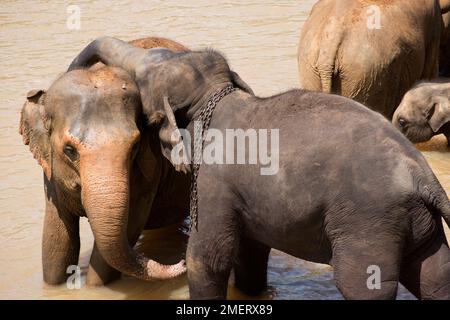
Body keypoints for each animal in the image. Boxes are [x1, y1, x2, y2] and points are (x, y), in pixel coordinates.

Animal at [18, 37, 192, 284]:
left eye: (135, 146)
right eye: (69, 150)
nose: (182, 263)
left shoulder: (149, 171)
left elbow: (129, 226)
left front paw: (94, 287)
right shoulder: (50, 173)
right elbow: (57, 239)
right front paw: (54, 285)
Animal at [67, 37, 450, 300]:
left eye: (146, 75)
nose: (74, 70)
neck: (216, 96)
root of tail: (423, 177)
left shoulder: (213, 182)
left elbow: (207, 258)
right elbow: (250, 251)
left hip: (369, 224)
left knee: (363, 285)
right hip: (414, 224)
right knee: (433, 275)